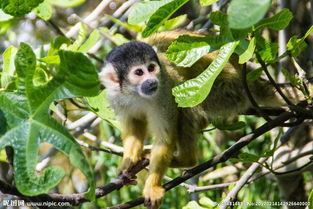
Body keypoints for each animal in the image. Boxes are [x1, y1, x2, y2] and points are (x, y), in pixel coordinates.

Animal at [98, 31, 302, 209]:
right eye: (139, 72)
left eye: (151, 68)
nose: (152, 81)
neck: (135, 93)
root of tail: (248, 82)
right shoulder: (115, 97)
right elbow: (133, 129)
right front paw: (128, 164)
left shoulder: (164, 89)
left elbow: (165, 137)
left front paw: (153, 187)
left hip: (224, 91)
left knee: (185, 101)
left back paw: (186, 160)